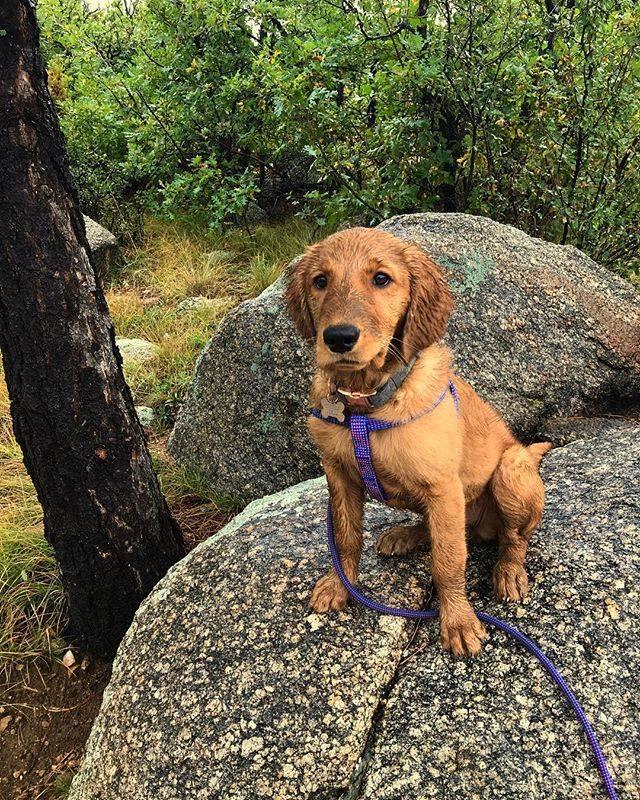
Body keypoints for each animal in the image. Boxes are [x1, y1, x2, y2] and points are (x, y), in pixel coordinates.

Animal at [284, 227, 552, 656]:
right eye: (320, 281)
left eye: (381, 279)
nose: (339, 338)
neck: (366, 403)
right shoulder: (339, 475)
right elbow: (345, 535)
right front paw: (341, 584)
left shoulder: (443, 488)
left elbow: (448, 561)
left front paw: (457, 619)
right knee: (436, 528)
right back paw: (405, 535)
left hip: (511, 473)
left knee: (513, 538)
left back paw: (509, 572)